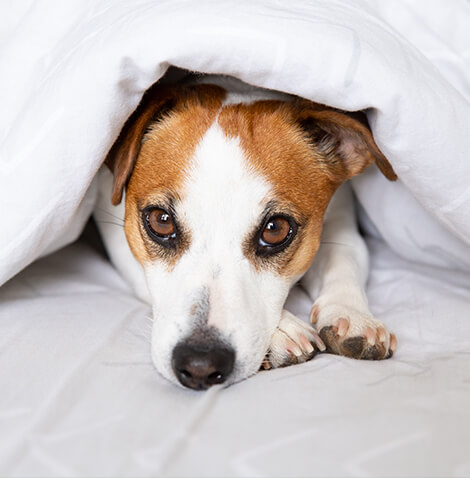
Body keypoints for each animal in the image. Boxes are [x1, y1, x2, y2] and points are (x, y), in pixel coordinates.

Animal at [94, 74, 396, 388]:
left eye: (275, 229)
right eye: (160, 221)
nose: (200, 365)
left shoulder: (340, 218)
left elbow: (345, 259)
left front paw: (352, 314)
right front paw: (282, 331)